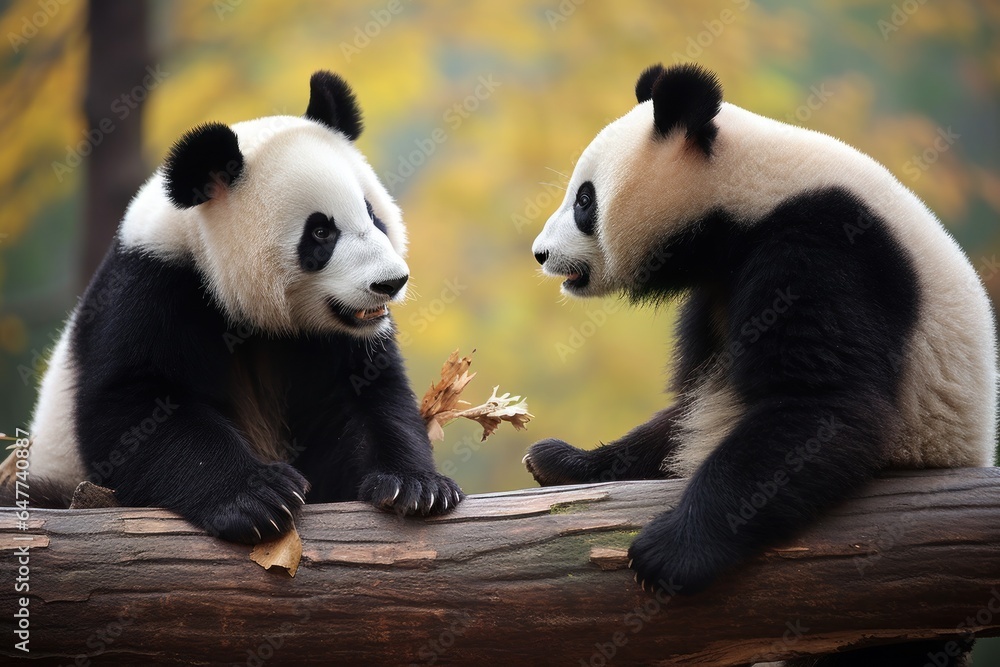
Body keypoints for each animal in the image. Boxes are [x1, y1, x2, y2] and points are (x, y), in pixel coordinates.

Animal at [19, 70, 463, 543]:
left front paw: (415, 486)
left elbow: (366, 398)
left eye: (371, 213)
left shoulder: (335, 341)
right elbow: (132, 406)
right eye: (320, 232)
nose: (390, 282)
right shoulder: (153, 286)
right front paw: (258, 496)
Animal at [525, 63, 995, 666]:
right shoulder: (717, 291)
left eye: (585, 200)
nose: (541, 253)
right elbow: (684, 412)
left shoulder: (830, 243)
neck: (747, 193)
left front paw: (667, 552)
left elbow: (819, 407)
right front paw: (563, 460)